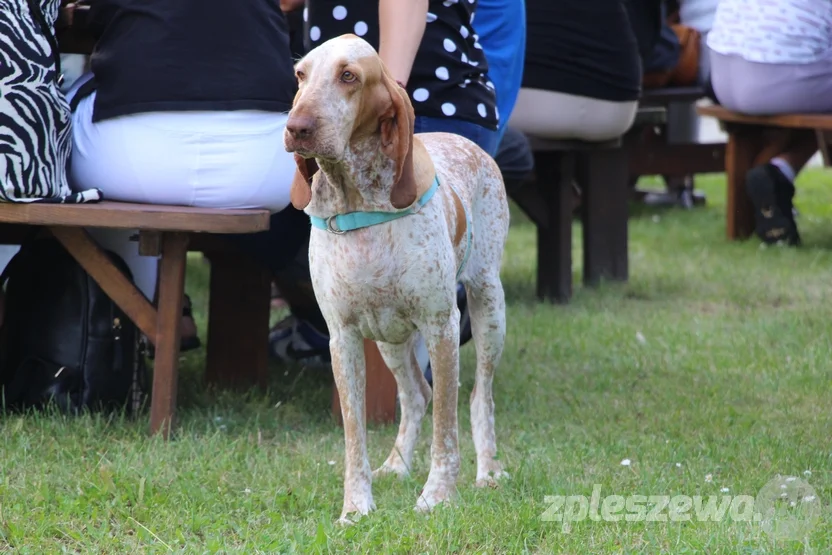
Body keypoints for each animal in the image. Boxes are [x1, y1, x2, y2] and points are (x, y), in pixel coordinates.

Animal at [284, 33, 508, 520]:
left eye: (349, 76)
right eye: (301, 75)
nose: (297, 127)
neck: (357, 200)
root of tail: (463, 140)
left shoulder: (441, 327)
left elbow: (447, 428)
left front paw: (438, 495)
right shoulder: (344, 337)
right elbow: (355, 437)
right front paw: (355, 508)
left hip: (488, 306)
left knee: (480, 396)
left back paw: (489, 471)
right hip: (389, 338)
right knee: (416, 394)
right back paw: (397, 464)